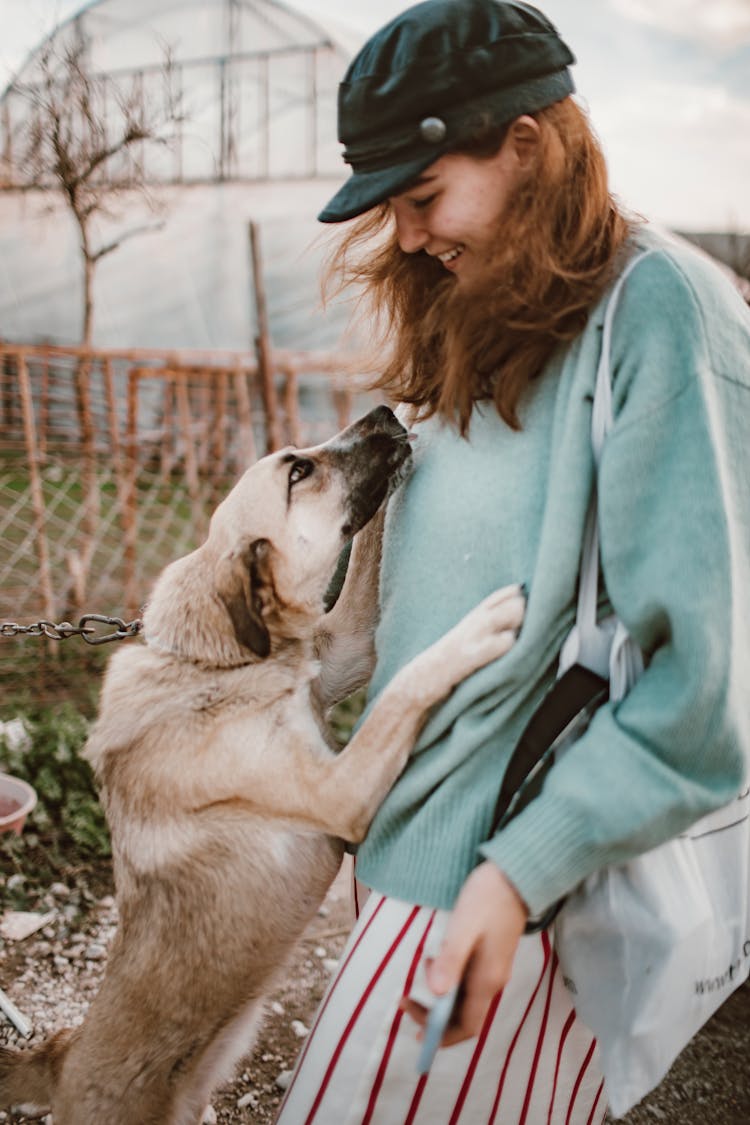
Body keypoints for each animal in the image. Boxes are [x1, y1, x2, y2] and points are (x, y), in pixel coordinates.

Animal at [0, 407, 526, 1125]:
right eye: (299, 471)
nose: (382, 413)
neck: (222, 664)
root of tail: (61, 1058)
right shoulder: (343, 790)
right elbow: (403, 688)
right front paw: (474, 630)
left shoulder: (344, 647)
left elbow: (365, 561)